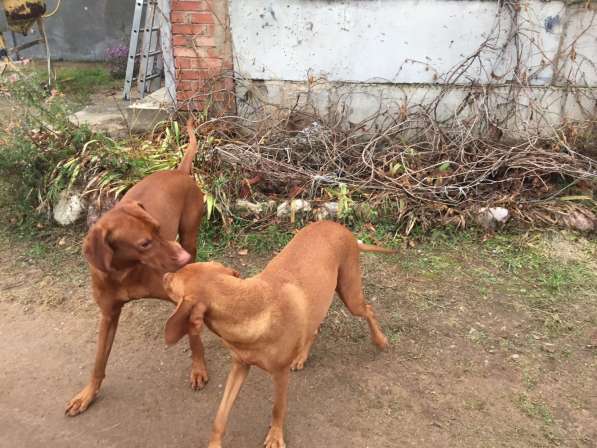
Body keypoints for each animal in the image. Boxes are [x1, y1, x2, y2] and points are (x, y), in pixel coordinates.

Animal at [66, 120, 207, 416]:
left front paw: (199, 369)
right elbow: (98, 361)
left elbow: (194, 335)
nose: (182, 258)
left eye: (158, 228)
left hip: (190, 234)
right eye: (144, 243)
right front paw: (87, 394)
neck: (125, 272)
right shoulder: (108, 315)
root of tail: (178, 171)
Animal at [163, 221, 392, 448]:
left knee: (369, 310)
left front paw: (275, 436)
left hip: (350, 294)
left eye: (173, 284)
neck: (248, 308)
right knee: (314, 328)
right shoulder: (240, 366)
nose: (164, 275)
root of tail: (339, 226)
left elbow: (277, 408)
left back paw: (380, 340)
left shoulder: (280, 375)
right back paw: (301, 356)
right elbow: (220, 416)